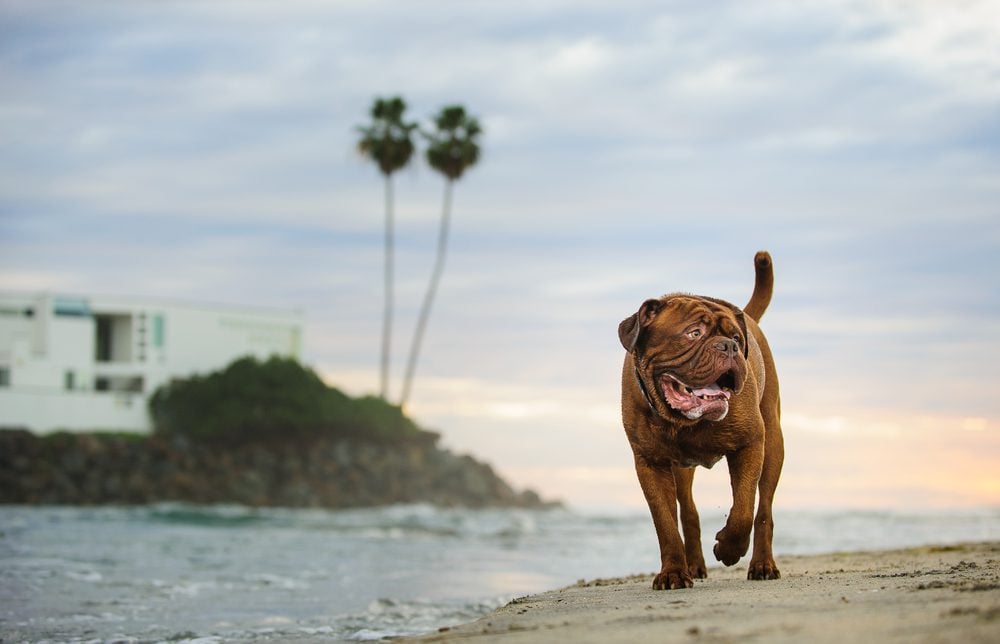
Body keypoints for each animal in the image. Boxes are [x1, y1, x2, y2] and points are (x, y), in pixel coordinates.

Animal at [616, 250, 780, 588]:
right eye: (694, 333)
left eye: (734, 336)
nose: (730, 346)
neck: (684, 421)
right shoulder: (650, 463)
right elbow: (665, 522)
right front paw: (673, 573)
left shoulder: (750, 445)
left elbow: (744, 510)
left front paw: (728, 548)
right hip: (681, 469)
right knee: (688, 512)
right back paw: (693, 565)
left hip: (773, 445)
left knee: (764, 509)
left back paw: (762, 564)